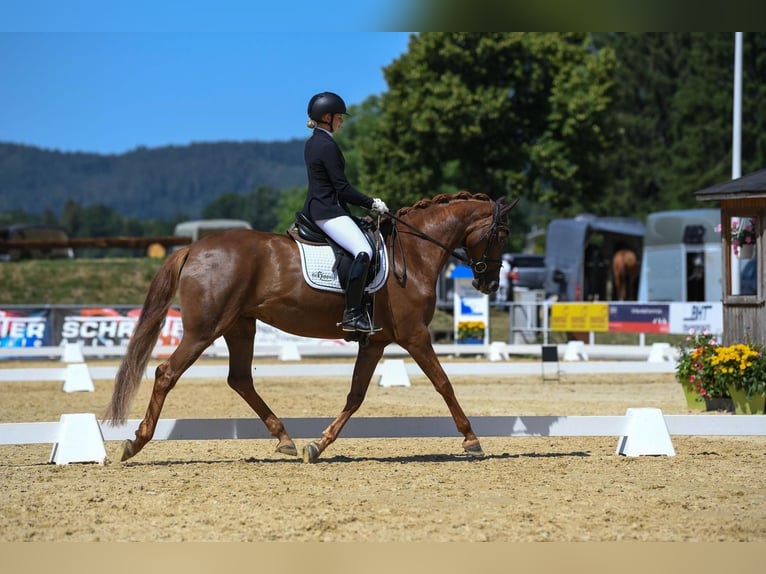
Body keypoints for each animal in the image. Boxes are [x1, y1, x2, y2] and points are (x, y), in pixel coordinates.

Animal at [103, 194, 516, 464]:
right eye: (501, 235)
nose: (489, 284)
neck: (413, 255)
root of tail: (193, 248)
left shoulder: (375, 342)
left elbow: (355, 395)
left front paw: (318, 445)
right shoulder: (415, 335)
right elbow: (444, 383)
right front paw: (472, 439)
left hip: (240, 326)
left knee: (240, 380)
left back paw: (285, 439)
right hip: (204, 329)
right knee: (166, 373)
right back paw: (136, 442)